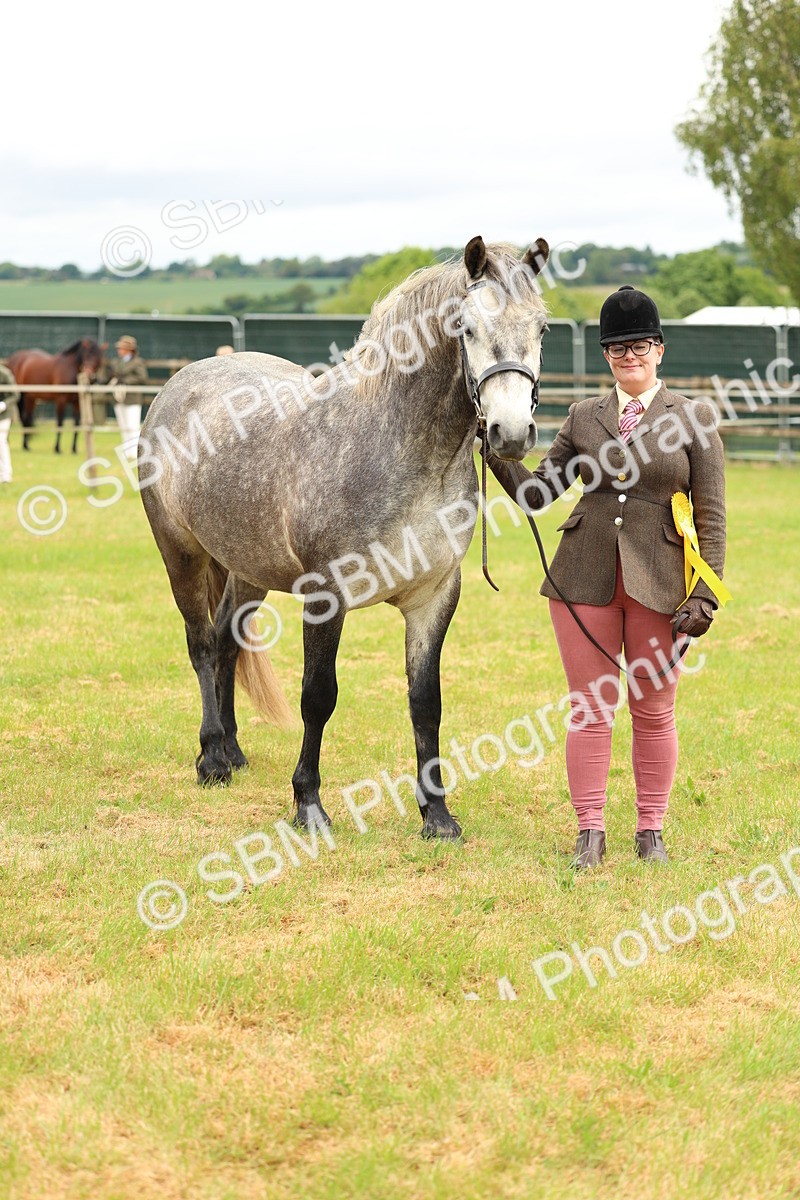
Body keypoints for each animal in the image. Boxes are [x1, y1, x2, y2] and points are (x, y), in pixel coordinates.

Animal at [139, 236, 549, 840]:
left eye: (542, 327)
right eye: (468, 327)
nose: (512, 433)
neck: (394, 446)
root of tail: (181, 383)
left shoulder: (434, 598)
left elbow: (425, 701)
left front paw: (437, 815)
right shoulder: (325, 596)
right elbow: (318, 697)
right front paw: (308, 804)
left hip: (247, 568)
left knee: (228, 641)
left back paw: (233, 751)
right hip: (182, 555)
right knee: (201, 644)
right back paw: (212, 758)